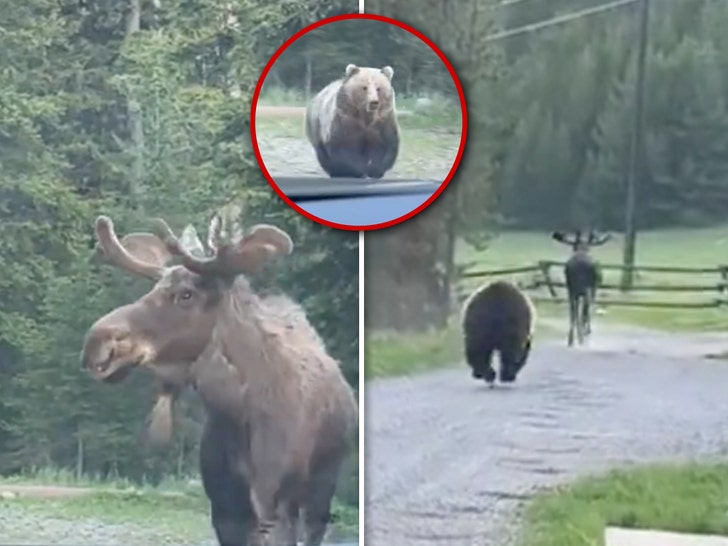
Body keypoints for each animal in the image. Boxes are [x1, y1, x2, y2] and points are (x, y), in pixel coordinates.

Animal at [80, 212, 359, 546]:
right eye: (152, 289)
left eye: (186, 294)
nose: (96, 343)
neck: (235, 415)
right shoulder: (225, 508)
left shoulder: (276, 506)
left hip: (320, 489)